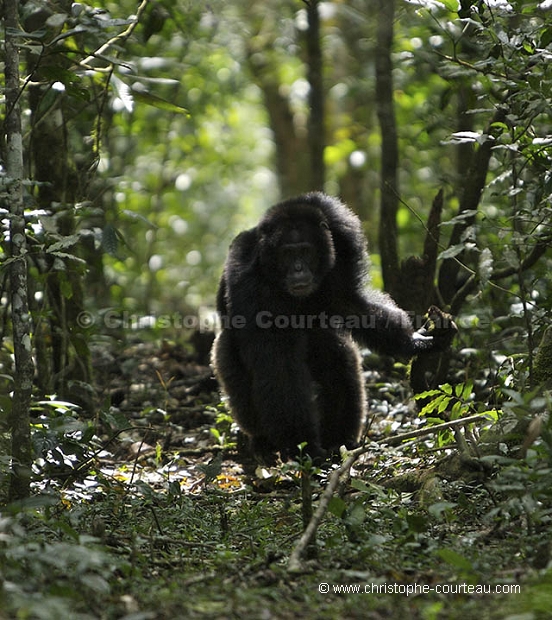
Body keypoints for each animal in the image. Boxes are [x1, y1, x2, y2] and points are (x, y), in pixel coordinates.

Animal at [210, 191, 452, 462]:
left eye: (305, 251)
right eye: (287, 254)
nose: (298, 269)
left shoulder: (345, 236)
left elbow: (350, 303)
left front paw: (418, 341)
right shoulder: (250, 278)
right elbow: (278, 362)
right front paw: (303, 446)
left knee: (340, 361)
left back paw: (339, 441)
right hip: (224, 360)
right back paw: (263, 442)